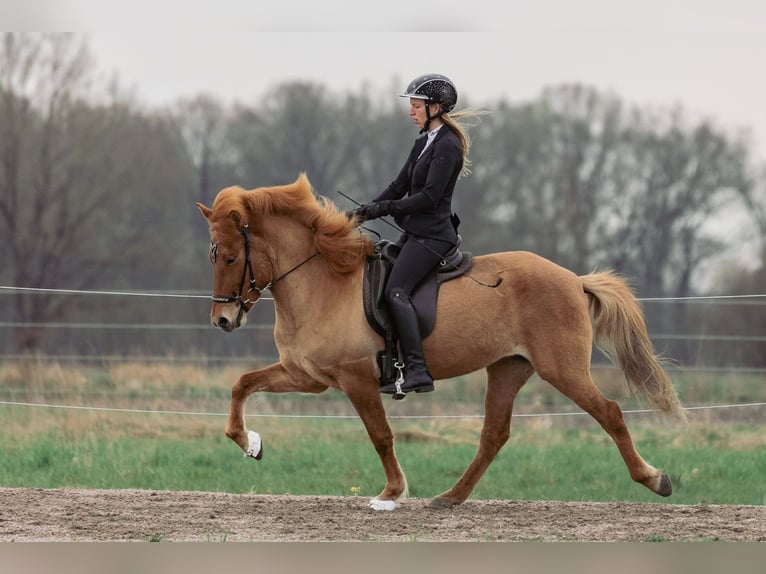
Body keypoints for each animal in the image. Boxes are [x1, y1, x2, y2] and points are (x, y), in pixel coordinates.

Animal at [196, 173, 687, 509]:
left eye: (233, 257)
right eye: (212, 257)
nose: (222, 320)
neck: (323, 280)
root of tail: (573, 279)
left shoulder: (355, 379)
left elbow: (381, 435)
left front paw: (391, 493)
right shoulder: (308, 377)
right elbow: (242, 384)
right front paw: (250, 443)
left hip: (562, 369)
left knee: (610, 413)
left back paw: (655, 479)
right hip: (508, 367)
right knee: (494, 435)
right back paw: (450, 497)